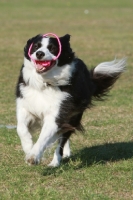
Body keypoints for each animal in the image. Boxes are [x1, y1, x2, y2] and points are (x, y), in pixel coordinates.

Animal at [15, 33, 125, 166]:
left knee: (63, 139)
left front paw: (33, 156)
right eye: (36, 46)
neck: (45, 83)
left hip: (74, 115)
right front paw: (28, 148)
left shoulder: (59, 113)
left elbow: (44, 136)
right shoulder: (25, 105)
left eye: (52, 48)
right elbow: (21, 128)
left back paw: (55, 162)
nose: (39, 53)